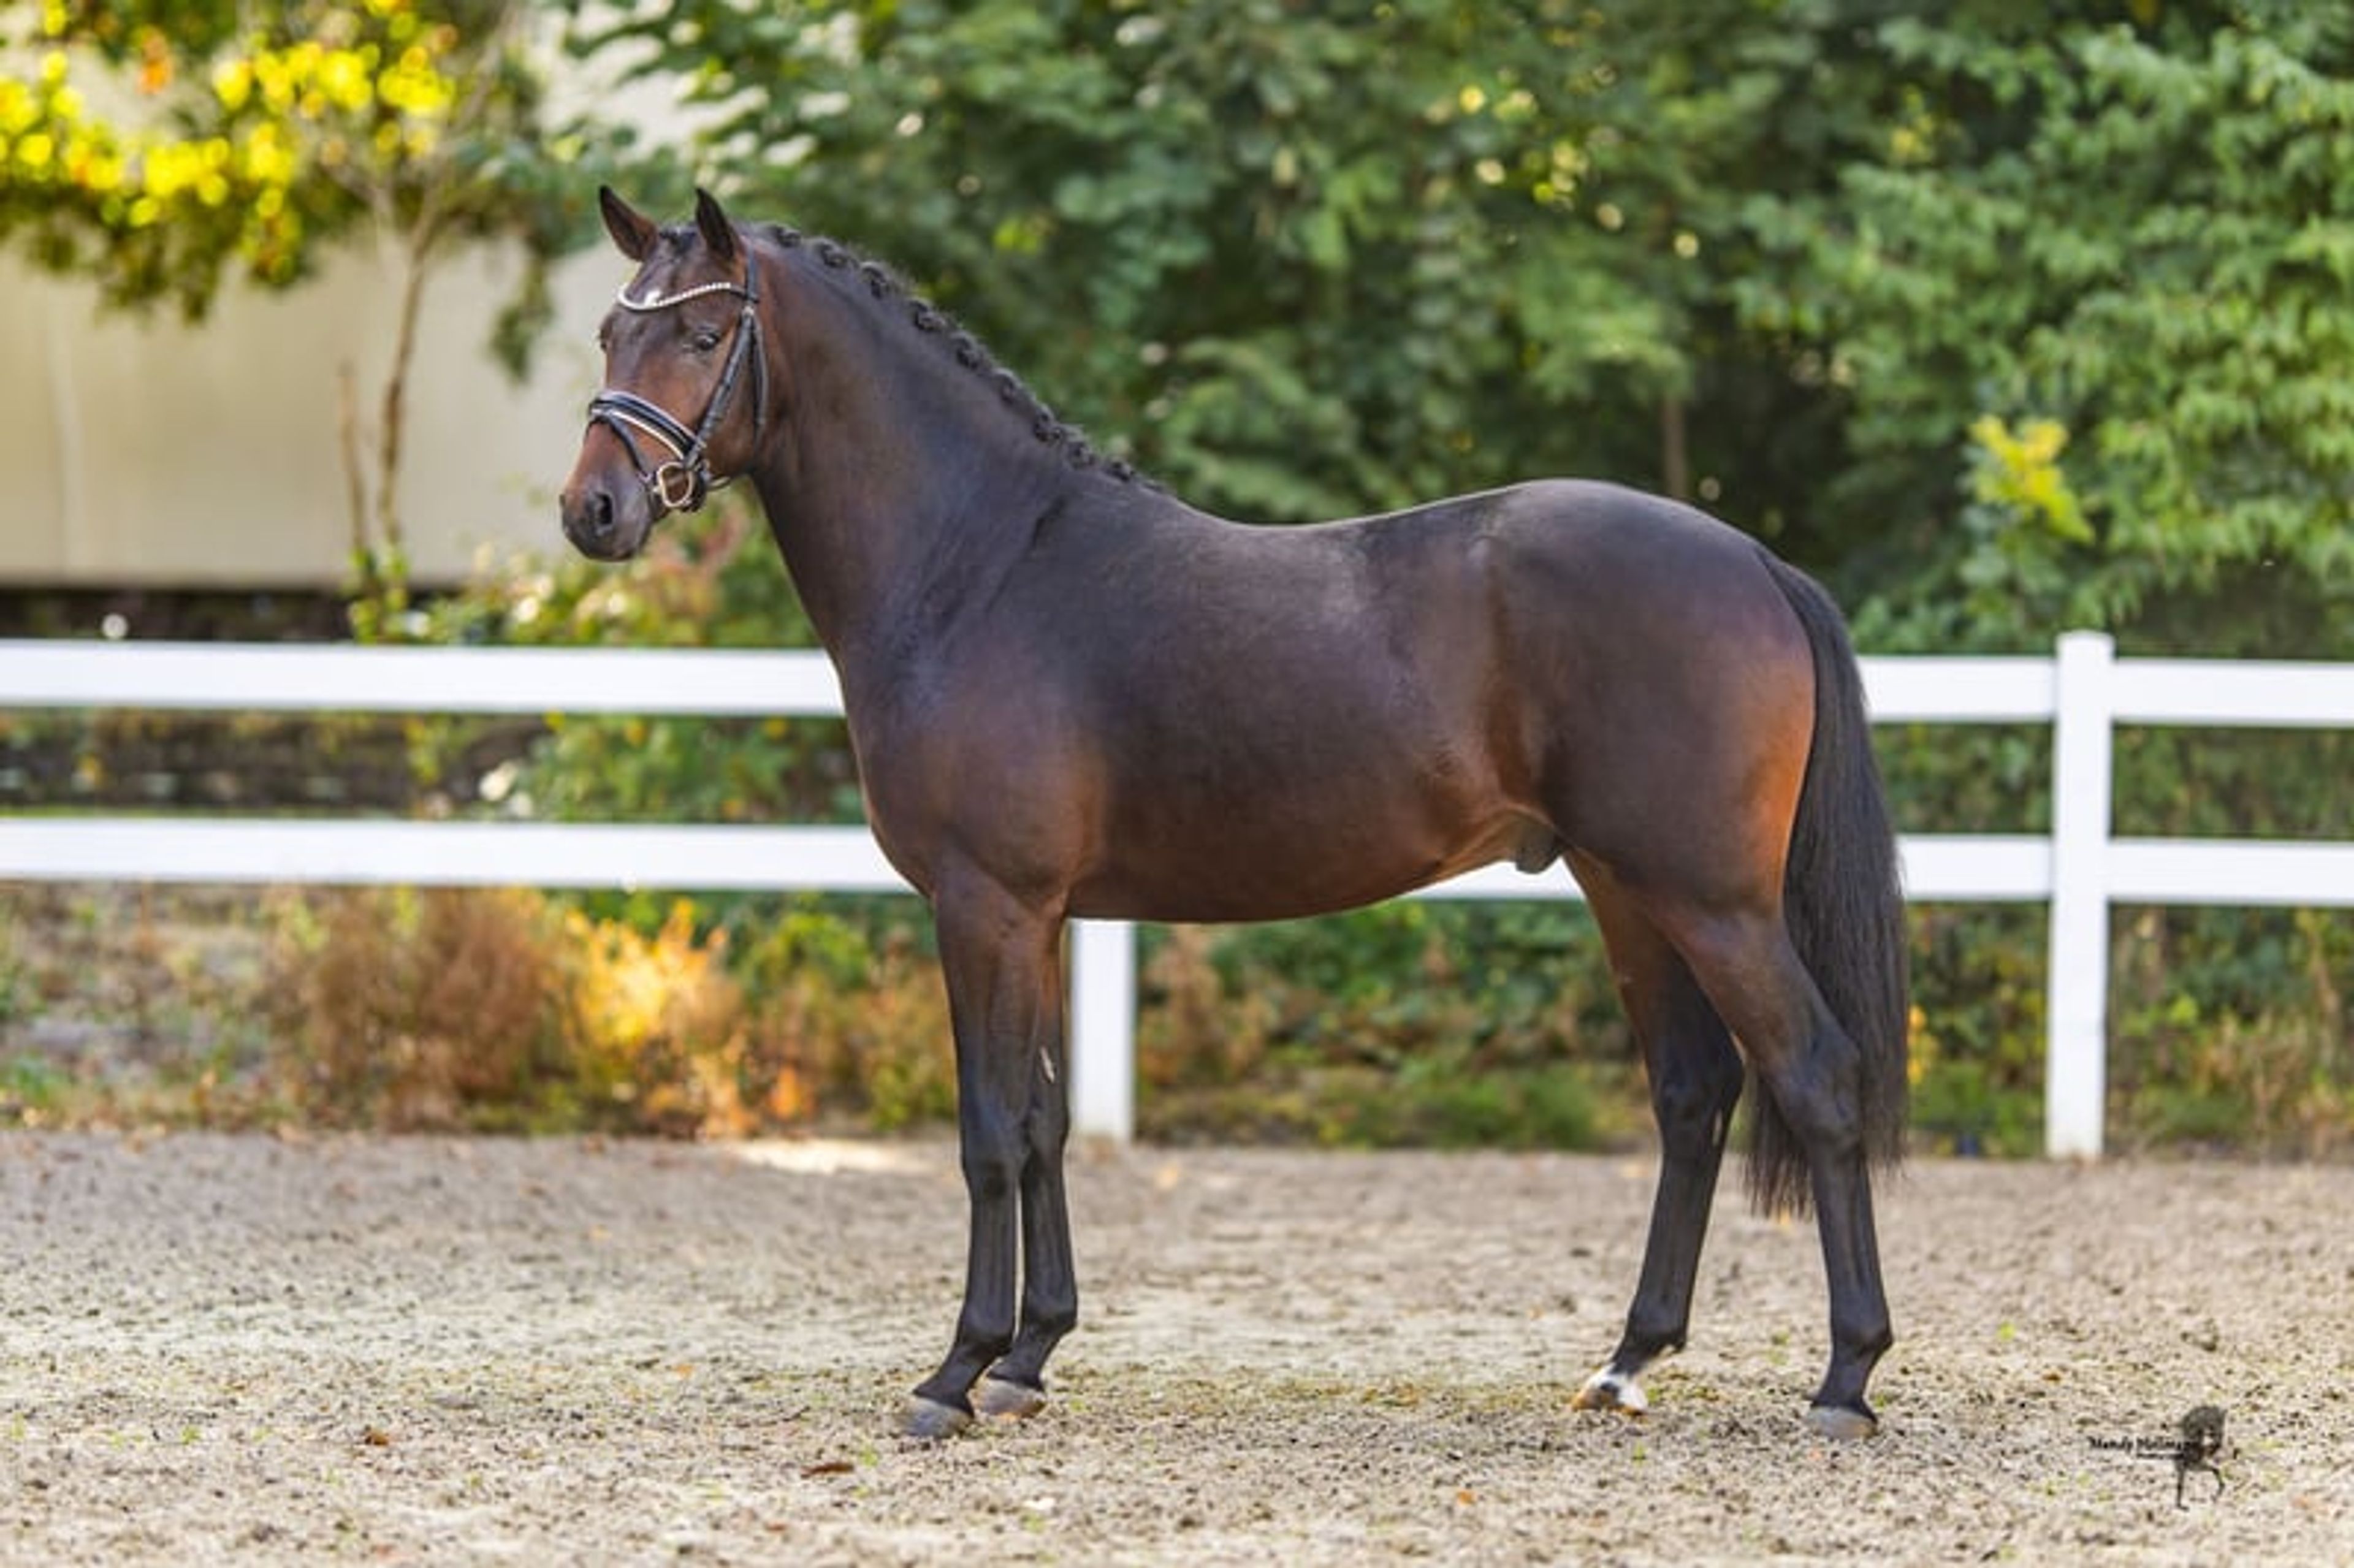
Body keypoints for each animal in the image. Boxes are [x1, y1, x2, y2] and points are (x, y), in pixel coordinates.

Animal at [560, 188, 1910, 1442]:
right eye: (611, 334)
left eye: (700, 334)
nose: (594, 512)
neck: (979, 567)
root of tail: (1753, 561)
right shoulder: (1041, 915)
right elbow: (1045, 1119)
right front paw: (1030, 1357)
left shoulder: (985, 903)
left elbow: (990, 1128)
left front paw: (956, 1371)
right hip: (1626, 888)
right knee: (1693, 1091)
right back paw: (1627, 1363)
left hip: (1713, 900)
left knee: (1819, 1076)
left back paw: (1844, 1379)